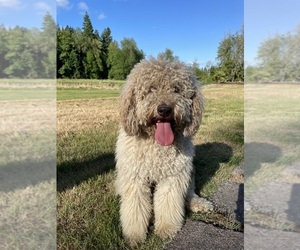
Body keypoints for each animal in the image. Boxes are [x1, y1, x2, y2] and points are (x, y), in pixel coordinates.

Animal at [115, 57, 213, 245]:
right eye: (151, 89)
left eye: (176, 89)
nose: (164, 109)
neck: (157, 144)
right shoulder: (135, 178)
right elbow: (135, 208)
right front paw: (134, 235)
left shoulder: (173, 176)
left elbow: (168, 203)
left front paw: (167, 229)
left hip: (189, 173)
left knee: (189, 194)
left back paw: (199, 204)